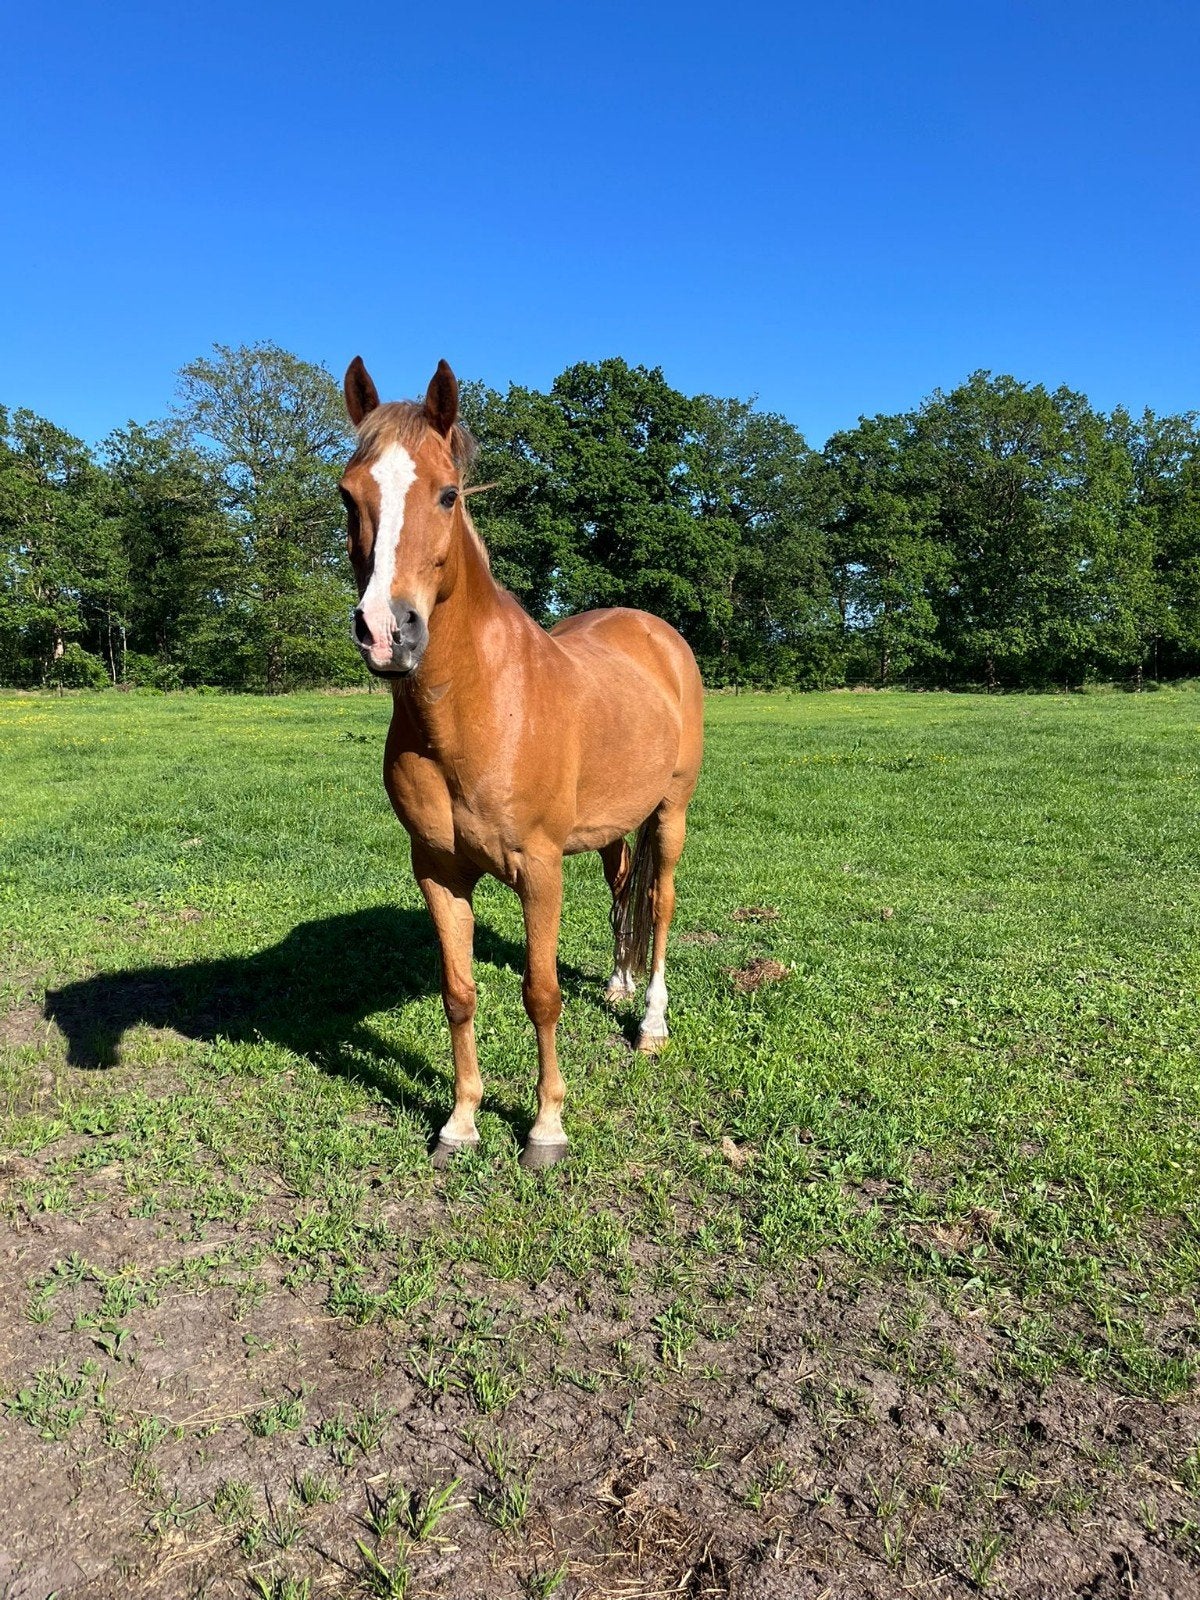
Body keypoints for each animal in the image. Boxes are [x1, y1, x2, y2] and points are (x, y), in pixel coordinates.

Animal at [339, 357, 704, 1169]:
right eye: (348, 493)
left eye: (447, 493)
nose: (386, 631)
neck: (478, 708)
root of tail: (657, 634)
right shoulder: (438, 871)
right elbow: (459, 993)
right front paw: (460, 1122)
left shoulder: (539, 869)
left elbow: (541, 994)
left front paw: (545, 1128)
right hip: (609, 828)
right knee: (622, 889)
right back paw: (620, 984)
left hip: (670, 814)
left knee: (659, 903)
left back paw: (651, 1023)